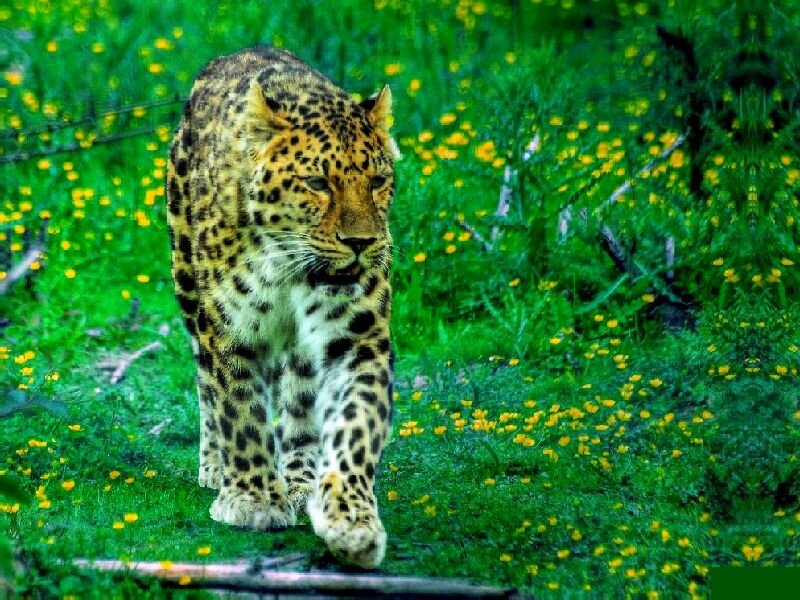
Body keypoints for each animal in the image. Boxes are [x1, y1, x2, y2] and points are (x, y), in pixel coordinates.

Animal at [165, 46, 398, 569]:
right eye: (317, 182)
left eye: (377, 180)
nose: (361, 243)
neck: (289, 268)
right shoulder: (228, 331)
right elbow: (240, 413)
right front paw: (252, 499)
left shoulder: (357, 338)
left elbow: (356, 423)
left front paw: (351, 520)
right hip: (187, 288)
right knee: (205, 384)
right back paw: (215, 466)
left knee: (299, 401)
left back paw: (301, 480)